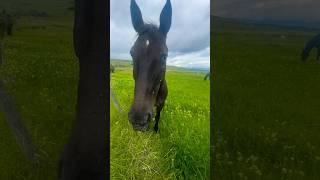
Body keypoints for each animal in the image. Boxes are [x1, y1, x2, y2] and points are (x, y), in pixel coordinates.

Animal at [128, 0, 172, 132]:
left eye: (164, 56)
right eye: (132, 53)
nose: (138, 119)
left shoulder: (161, 105)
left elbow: (157, 116)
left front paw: (156, 129)